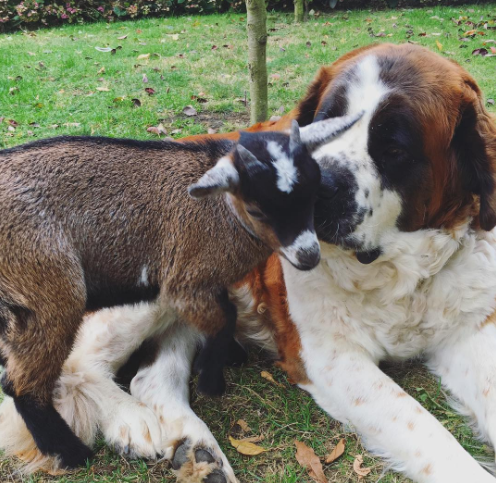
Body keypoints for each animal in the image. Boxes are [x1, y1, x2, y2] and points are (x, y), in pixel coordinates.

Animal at [0, 113, 358, 468]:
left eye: (314, 195)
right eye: (257, 209)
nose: (308, 255)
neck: (223, 213)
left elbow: (224, 308)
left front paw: (228, 357)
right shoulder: (185, 279)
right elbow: (224, 317)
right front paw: (211, 380)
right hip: (50, 287)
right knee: (25, 382)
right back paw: (74, 452)